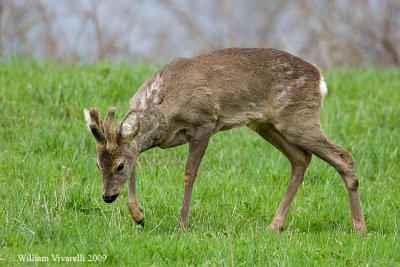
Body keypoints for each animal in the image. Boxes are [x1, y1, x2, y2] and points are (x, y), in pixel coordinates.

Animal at [83, 47, 368, 236]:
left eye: (118, 165)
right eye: (98, 165)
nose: (107, 196)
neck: (163, 107)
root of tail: (320, 79)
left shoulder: (204, 123)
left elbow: (189, 174)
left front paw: (182, 225)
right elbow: (138, 159)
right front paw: (138, 216)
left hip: (298, 119)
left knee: (344, 156)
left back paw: (360, 228)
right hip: (265, 124)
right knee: (301, 158)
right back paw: (275, 225)